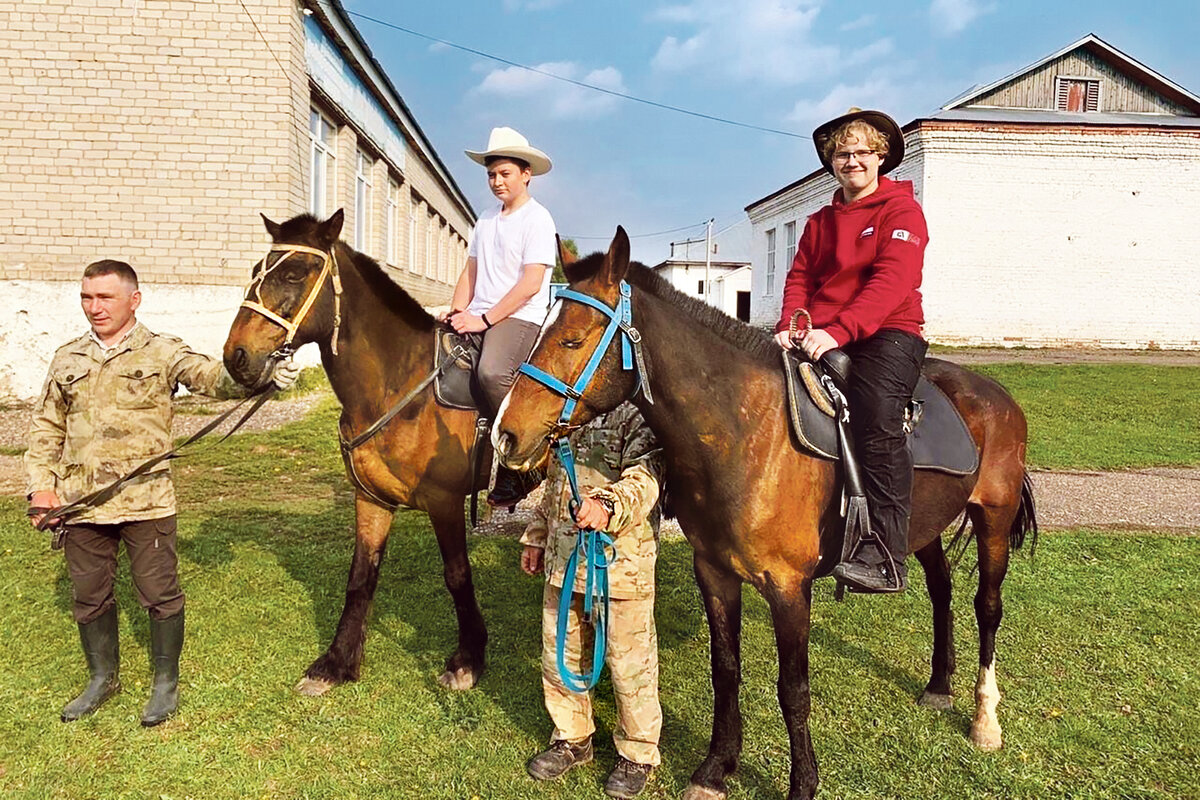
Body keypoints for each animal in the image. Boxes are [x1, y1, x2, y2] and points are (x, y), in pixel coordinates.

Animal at [492, 226, 1036, 800]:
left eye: (573, 340)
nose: (505, 434)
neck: (747, 432)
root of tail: (993, 395)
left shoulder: (788, 588)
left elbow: (793, 688)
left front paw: (802, 784)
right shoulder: (714, 572)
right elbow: (726, 669)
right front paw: (716, 767)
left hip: (993, 520)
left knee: (987, 607)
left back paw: (985, 719)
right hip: (922, 528)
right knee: (941, 590)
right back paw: (937, 685)